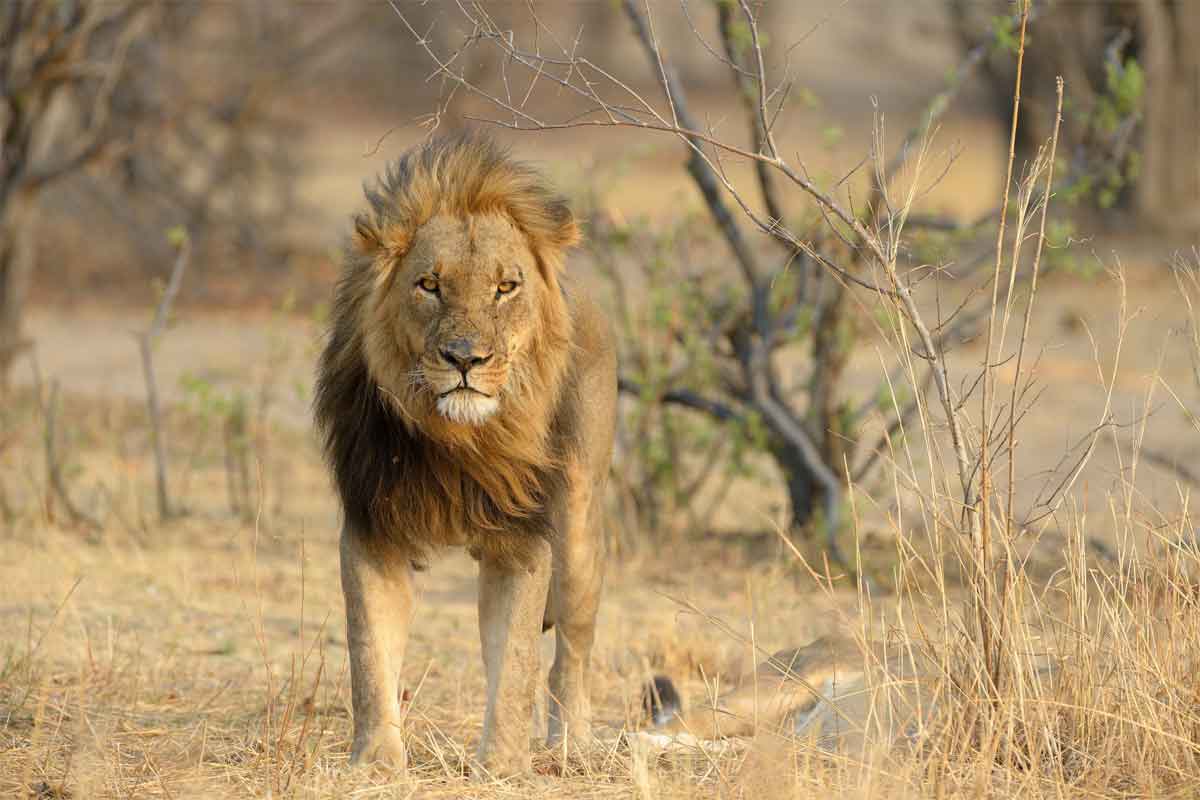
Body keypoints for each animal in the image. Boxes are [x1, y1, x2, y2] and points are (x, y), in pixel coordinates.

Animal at [316, 134, 619, 777]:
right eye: (429, 284)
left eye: (506, 287)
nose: (464, 359)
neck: (457, 442)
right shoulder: (372, 528)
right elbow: (368, 654)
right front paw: (377, 763)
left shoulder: (523, 539)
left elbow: (517, 666)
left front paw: (502, 766)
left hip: (579, 525)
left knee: (570, 654)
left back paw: (570, 745)